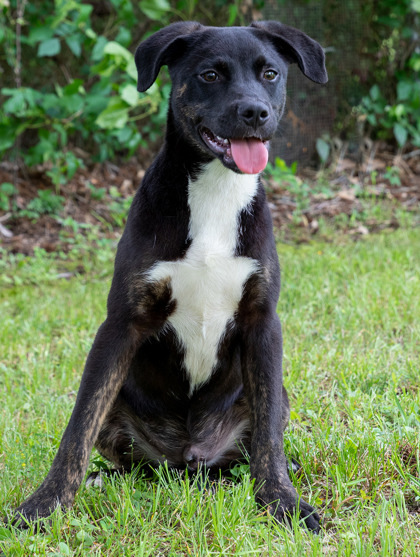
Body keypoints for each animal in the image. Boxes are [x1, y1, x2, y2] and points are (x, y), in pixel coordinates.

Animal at [11, 20, 328, 528]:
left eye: (271, 73)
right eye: (210, 74)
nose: (255, 112)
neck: (215, 192)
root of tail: (187, 458)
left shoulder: (263, 322)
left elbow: (268, 440)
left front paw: (282, 500)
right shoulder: (121, 323)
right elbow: (78, 426)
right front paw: (45, 504)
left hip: (271, 394)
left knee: (251, 444)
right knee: (127, 460)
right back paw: (105, 478)